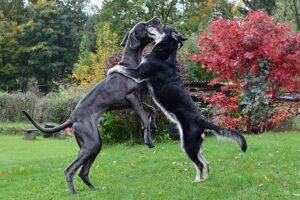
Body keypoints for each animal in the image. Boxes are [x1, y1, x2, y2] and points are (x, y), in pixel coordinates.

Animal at [22, 17, 162, 194]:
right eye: (144, 25)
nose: (157, 19)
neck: (131, 64)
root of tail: (72, 118)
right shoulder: (132, 97)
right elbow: (143, 117)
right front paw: (148, 139)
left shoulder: (136, 99)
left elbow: (152, 109)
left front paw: (154, 125)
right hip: (90, 143)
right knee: (69, 170)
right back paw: (73, 192)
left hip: (94, 143)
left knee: (83, 171)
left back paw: (94, 189)